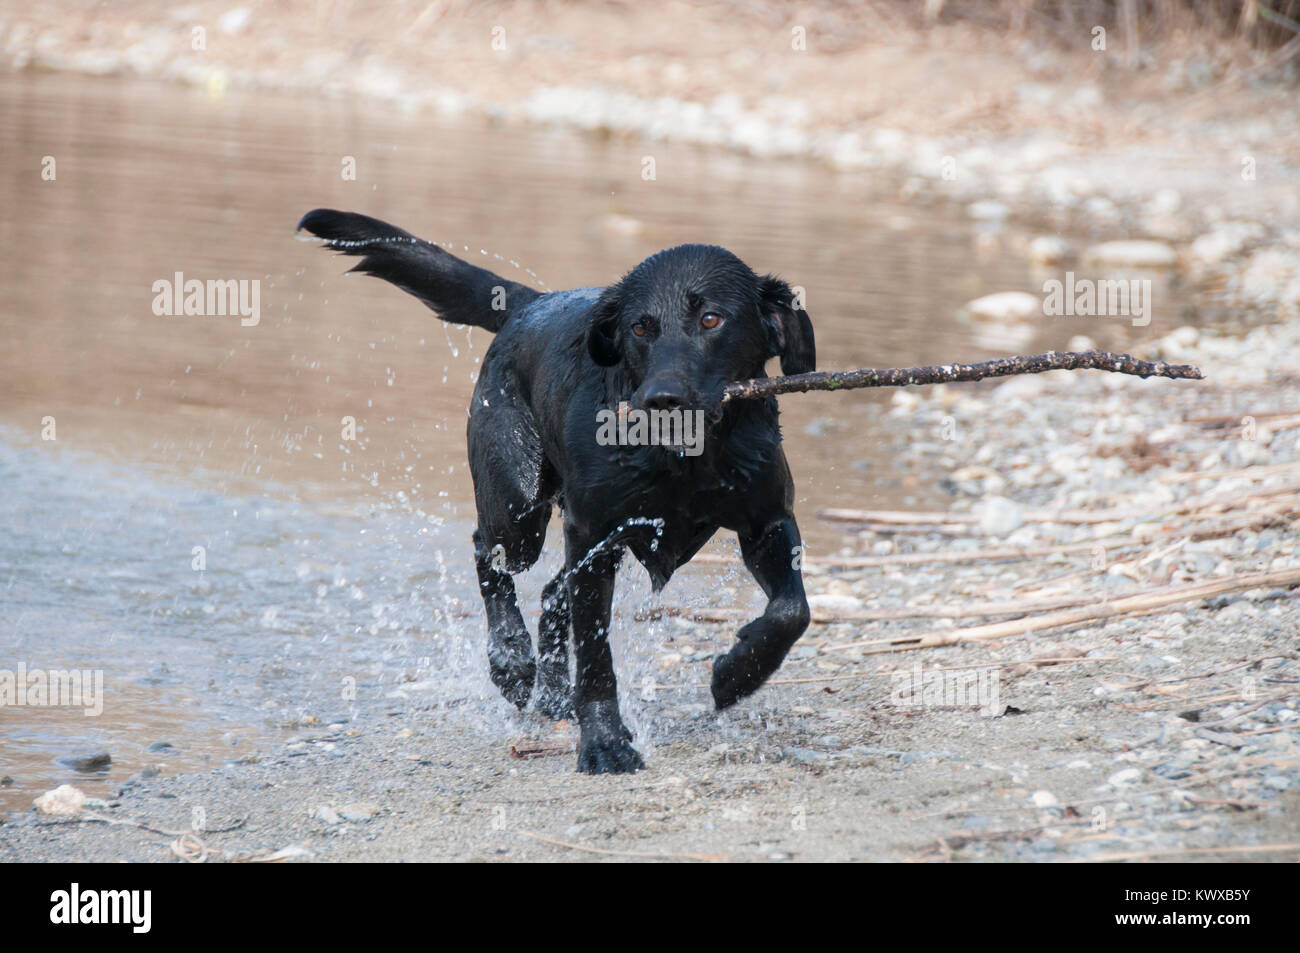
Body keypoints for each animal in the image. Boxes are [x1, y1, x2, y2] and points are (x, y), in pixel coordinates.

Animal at [299, 210, 816, 774]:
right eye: (640, 327)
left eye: (711, 320)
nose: (661, 399)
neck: (686, 460)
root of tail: (530, 305)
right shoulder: (593, 539)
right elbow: (595, 659)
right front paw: (605, 744)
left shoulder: (768, 521)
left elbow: (792, 612)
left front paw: (735, 675)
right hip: (519, 508)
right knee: (489, 553)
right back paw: (511, 661)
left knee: (550, 593)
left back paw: (549, 693)